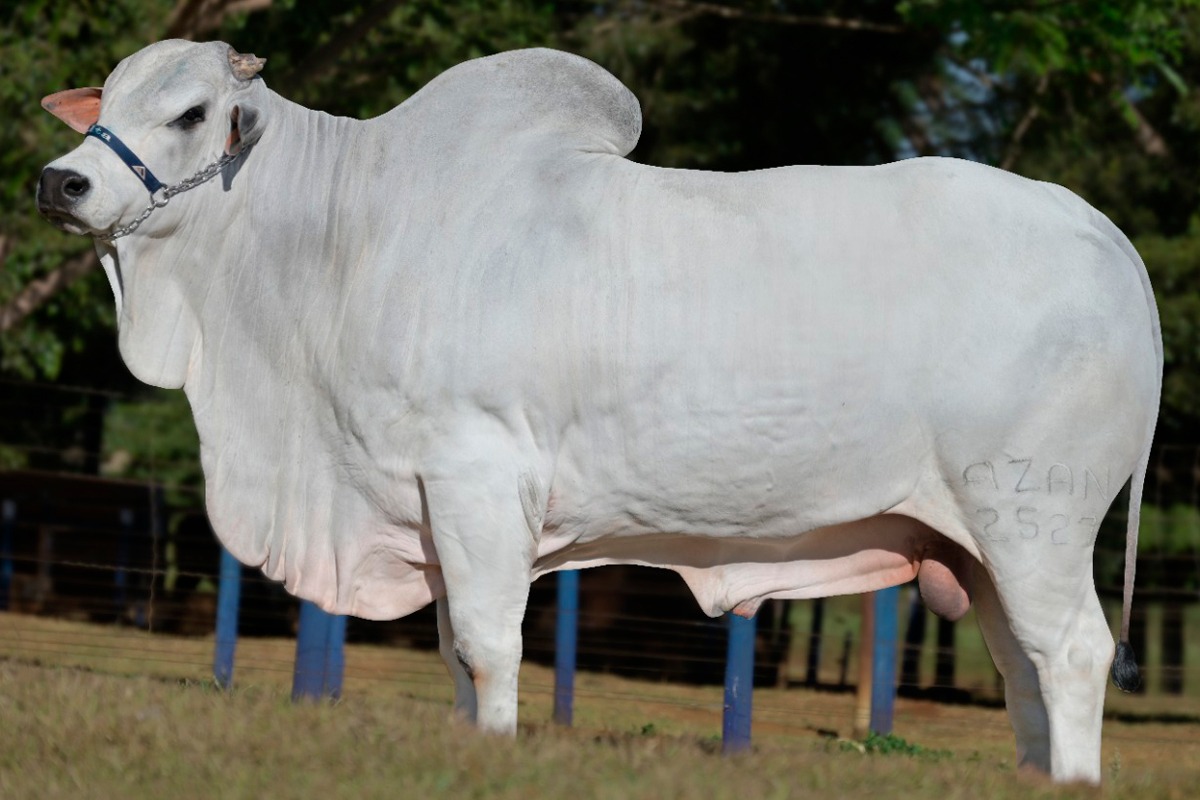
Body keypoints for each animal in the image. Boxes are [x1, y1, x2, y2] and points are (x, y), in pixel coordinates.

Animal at [39, 38, 1161, 782]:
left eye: (190, 112)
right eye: (107, 101)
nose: (61, 181)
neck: (340, 238)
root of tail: (1106, 237)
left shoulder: (478, 479)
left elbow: (489, 645)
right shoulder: (435, 510)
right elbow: (454, 653)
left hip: (1032, 514)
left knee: (1072, 654)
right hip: (979, 544)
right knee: (1022, 670)